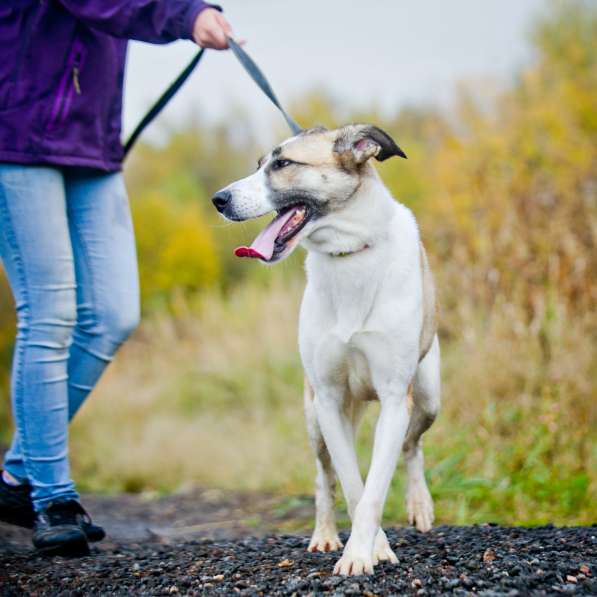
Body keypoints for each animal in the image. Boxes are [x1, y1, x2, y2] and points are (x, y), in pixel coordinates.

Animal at [212, 124, 440, 572]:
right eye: (258, 164)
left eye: (283, 163)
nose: (219, 200)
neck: (349, 252)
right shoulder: (330, 400)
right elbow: (353, 485)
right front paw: (371, 548)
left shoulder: (394, 398)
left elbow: (375, 485)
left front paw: (363, 553)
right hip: (316, 416)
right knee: (324, 476)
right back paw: (324, 534)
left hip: (427, 397)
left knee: (412, 446)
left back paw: (419, 504)